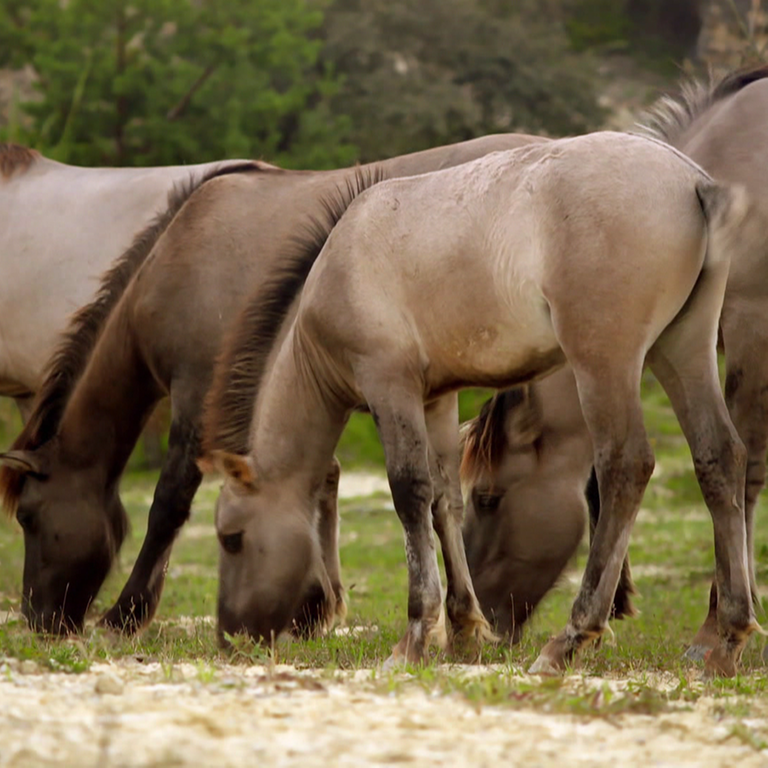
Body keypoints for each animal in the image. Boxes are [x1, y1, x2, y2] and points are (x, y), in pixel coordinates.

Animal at [200, 134, 756, 680]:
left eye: (231, 538)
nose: (231, 637)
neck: (344, 261)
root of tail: (692, 181)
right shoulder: (436, 399)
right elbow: (445, 499)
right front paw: (465, 630)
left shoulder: (390, 386)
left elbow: (409, 493)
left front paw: (416, 636)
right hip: (681, 350)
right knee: (719, 457)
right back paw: (726, 638)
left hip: (605, 364)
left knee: (625, 468)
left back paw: (570, 639)